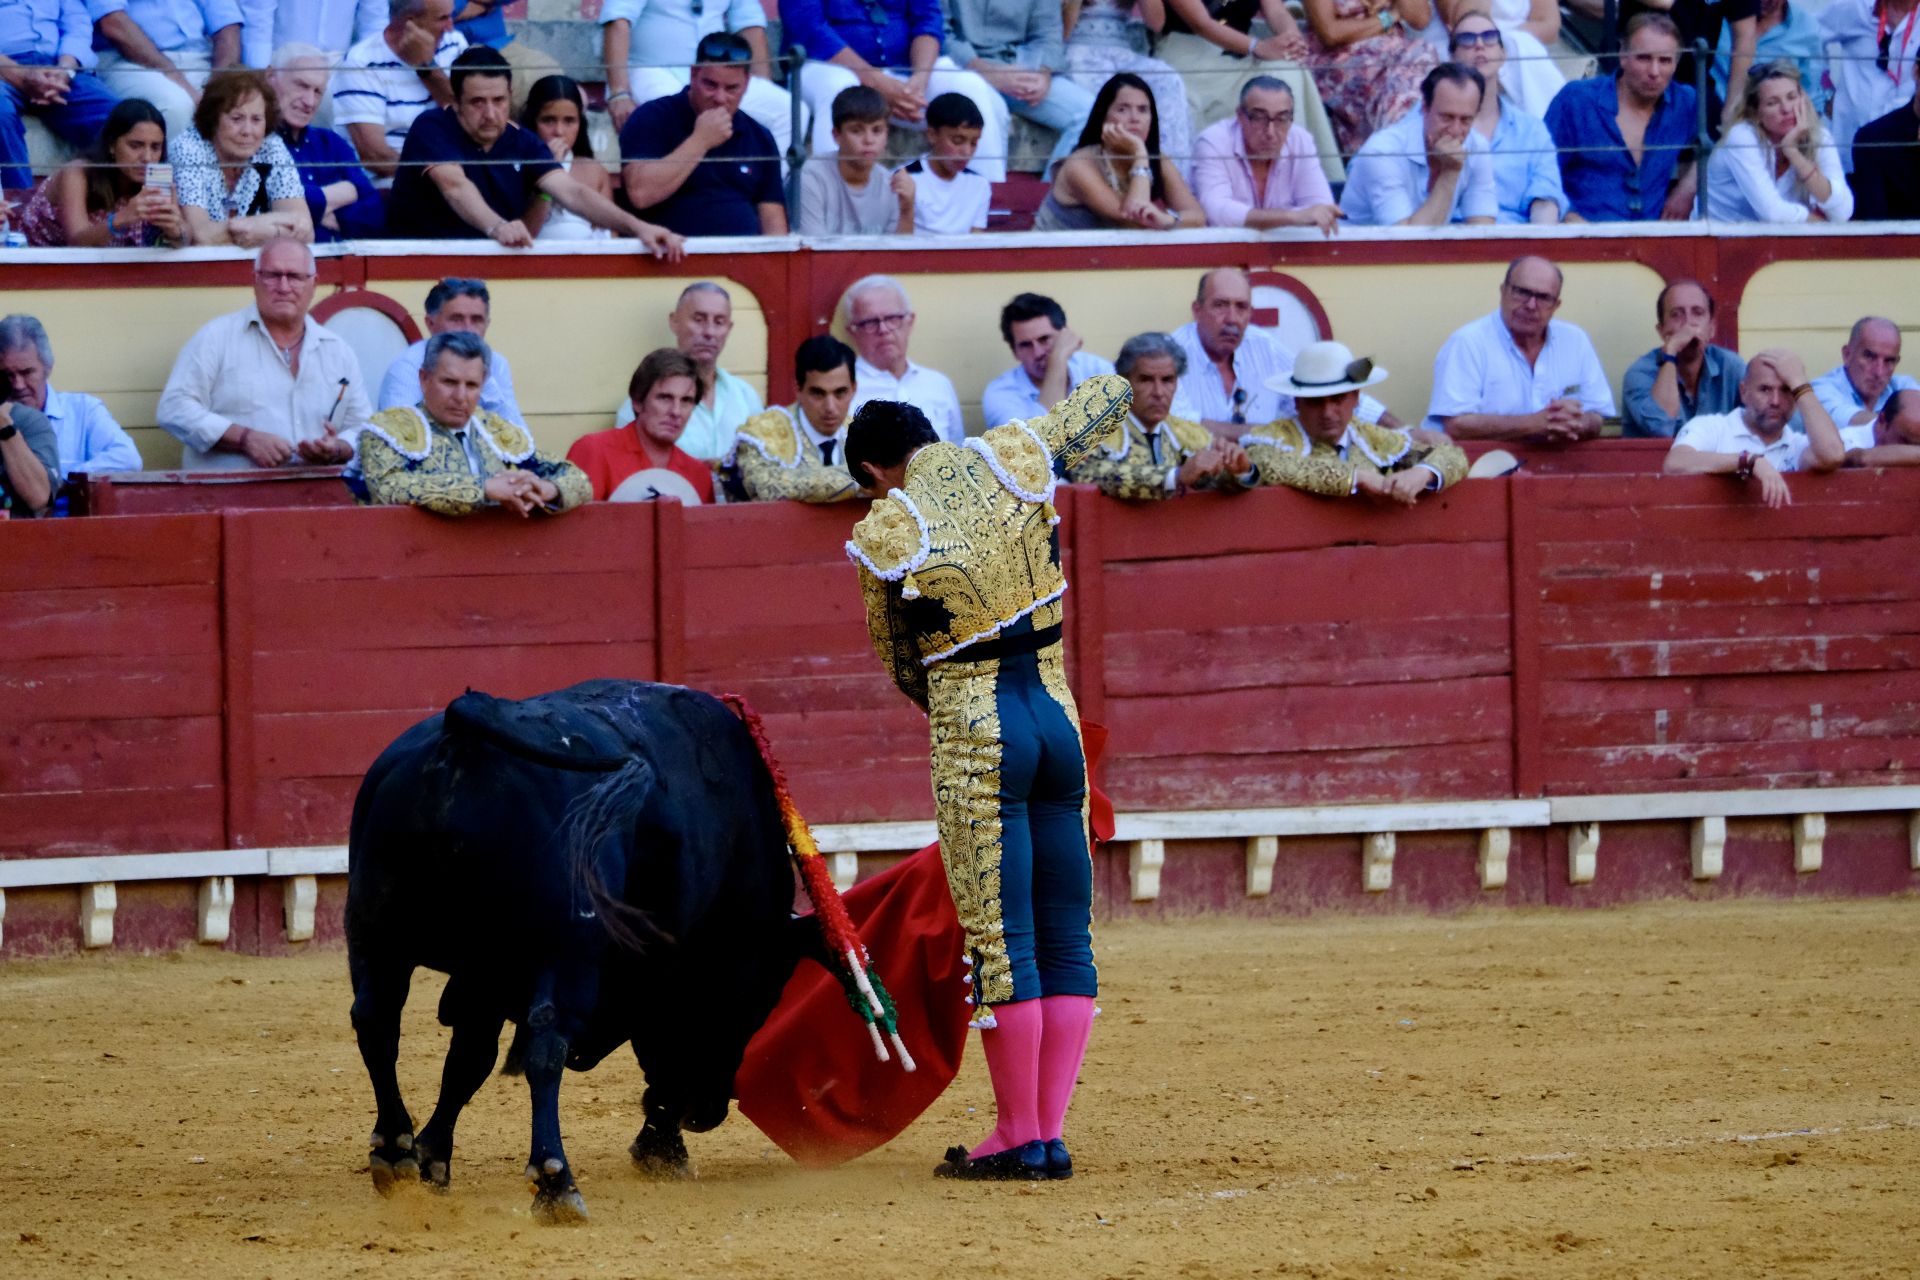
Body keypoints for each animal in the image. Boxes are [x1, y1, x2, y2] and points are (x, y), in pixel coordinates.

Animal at [347, 679, 825, 1220]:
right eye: (757, 1005)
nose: (708, 1113)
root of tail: (464, 722)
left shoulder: (485, 973)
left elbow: (468, 1061)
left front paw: (431, 1158)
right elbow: (659, 1057)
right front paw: (662, 1151)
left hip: (374, 932)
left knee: (377, 1022)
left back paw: (392, 1150)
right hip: (563, 949)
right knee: (545, 1046)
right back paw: (557, 1182)